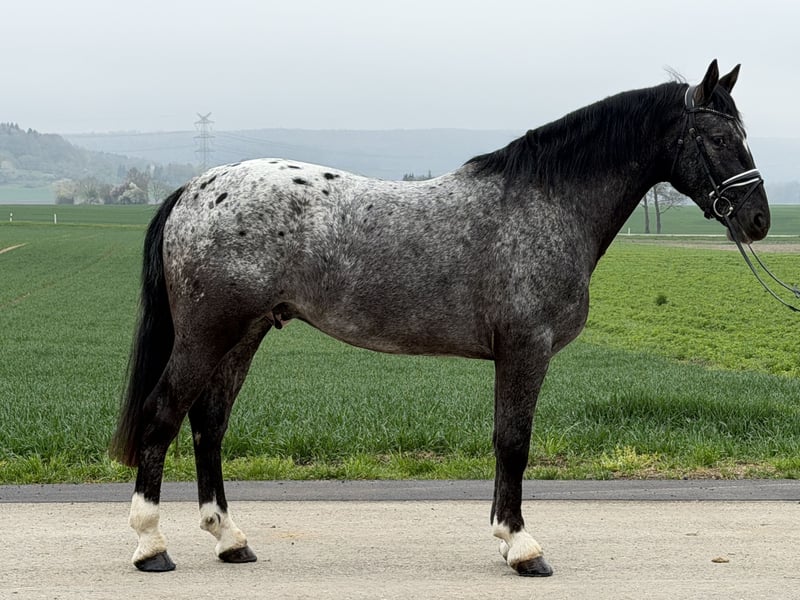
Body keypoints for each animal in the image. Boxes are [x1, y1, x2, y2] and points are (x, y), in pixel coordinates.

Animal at [110, 60, 770, 576]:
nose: (759, 219)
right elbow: (514, 442)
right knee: (163, 415)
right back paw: (151, 547)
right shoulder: (525, 350)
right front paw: (522, 547)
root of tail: (197, 186)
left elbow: (506, 441)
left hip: (243, 335)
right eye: (717, 137)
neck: (545, 204)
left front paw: (507, 539)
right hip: (208, 333)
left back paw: (230, 539)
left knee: (209, 424)